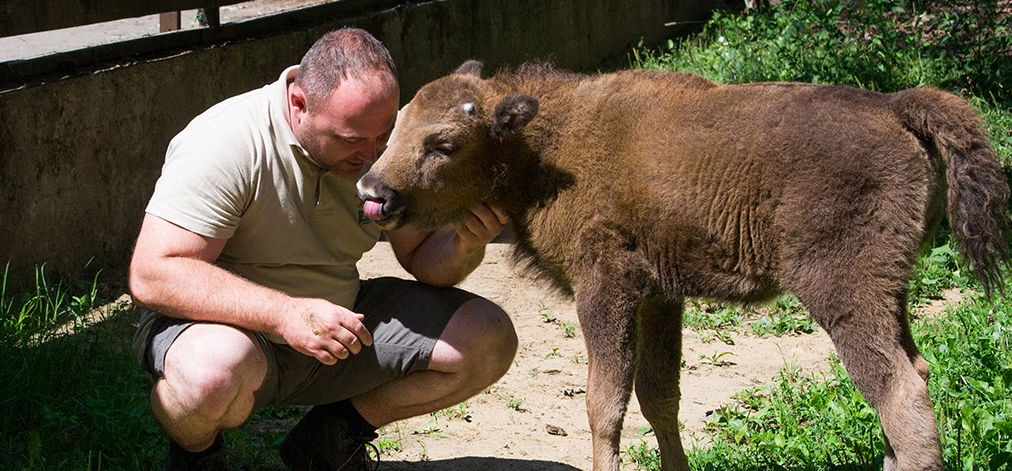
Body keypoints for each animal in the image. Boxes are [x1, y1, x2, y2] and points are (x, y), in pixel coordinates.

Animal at [356, 59, 1003, 469]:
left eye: (444, 143)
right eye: (396, 123)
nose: (373, 191)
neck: (544, 144)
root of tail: (894, 105)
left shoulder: (607, 287)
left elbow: (604, 403)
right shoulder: (660, 297)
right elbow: (657, 394)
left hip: (844, 290)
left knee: (898, 391)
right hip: (889, 293)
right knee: (911, 374)